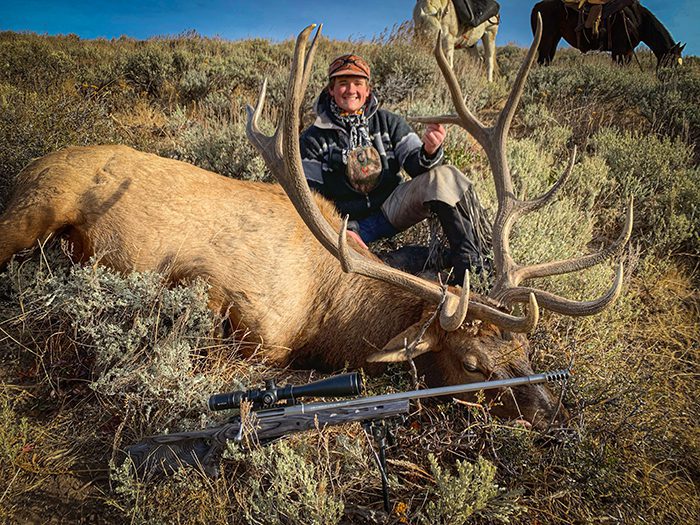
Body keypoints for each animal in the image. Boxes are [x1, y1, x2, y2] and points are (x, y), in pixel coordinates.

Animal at [0, 19, 631, 430]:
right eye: (474, 364)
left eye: (527, 346)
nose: (551, 410)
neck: (326, 313)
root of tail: (32, 161)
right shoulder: (216, 290)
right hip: (29, 212)